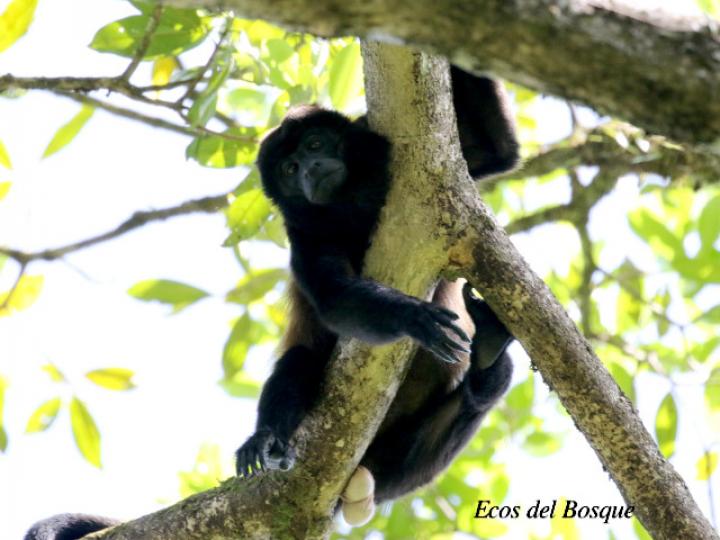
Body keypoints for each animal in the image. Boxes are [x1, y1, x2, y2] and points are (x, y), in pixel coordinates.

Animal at [24, 67, 518, 538]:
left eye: (316, 144)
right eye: (289, 169)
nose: (311, 169)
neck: (350, 202)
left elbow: (492, 149)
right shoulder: (304, 235)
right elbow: (334, 299)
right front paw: (413, 317)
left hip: (407, 465)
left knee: (486, 392)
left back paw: (488, 353)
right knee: (296, 363)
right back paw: (265, 438)